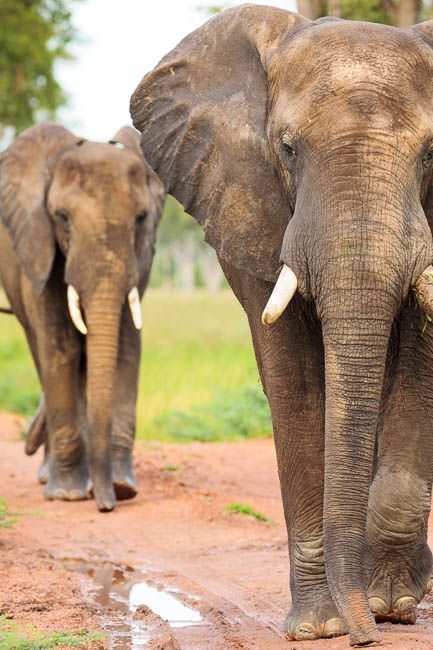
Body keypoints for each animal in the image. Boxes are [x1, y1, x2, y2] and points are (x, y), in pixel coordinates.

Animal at [0, 122, 164, 512]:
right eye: (62, 218)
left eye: (141, 219)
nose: (106, 506)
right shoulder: (41, 250)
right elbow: (60, 350)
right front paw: (67, 495)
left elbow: (124, 350)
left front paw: (123, 487)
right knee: (45, 354)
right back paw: (57, 479)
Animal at [130, 5, 433, 646]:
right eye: (287, 149)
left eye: (430, 154)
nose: (364, 636)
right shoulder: (249, 198)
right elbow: (293, 381)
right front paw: (320, 626)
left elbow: (422, 366)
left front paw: (390, 605)